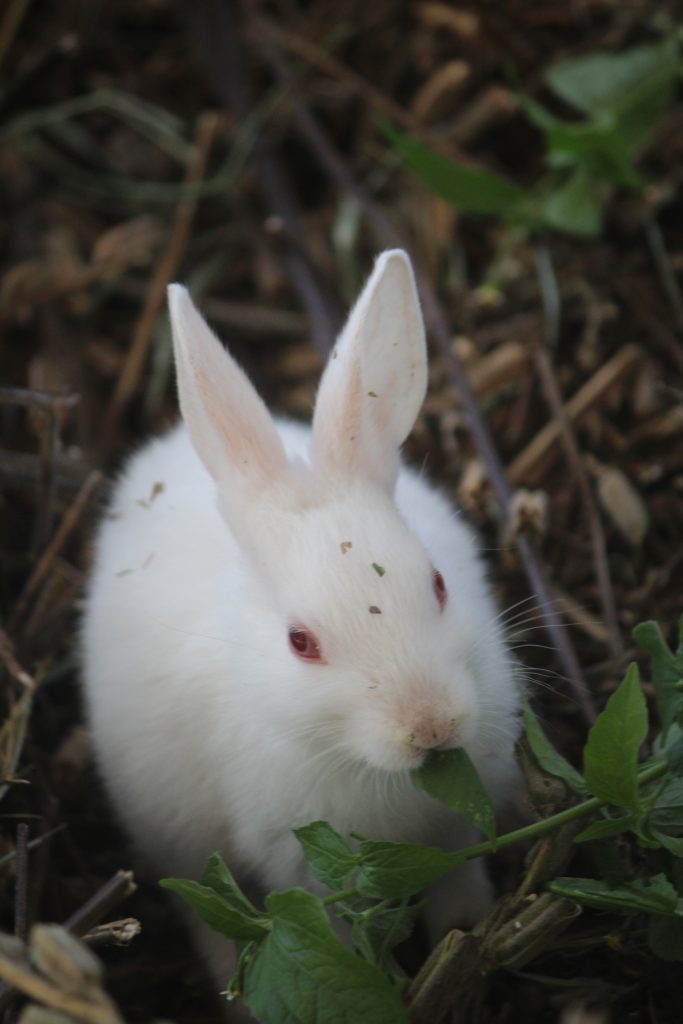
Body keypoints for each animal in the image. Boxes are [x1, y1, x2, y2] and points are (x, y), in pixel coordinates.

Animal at [81, 250, 521, 987]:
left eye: (437, 585)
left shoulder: (460, 823)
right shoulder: (293, 857)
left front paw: (467, 926)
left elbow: (457, 874)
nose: (429, 727)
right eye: (300, 642)